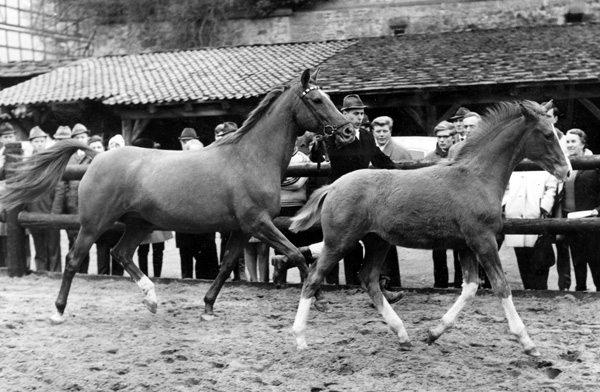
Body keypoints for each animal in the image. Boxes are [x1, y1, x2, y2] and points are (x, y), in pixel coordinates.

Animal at [1, 69, 352, 324]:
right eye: (317, 100)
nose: (348, 131)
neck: (250, 158)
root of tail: (97, 156)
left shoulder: (243, 229)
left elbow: (226, 264)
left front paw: (208, 307)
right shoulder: (258, 223)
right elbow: (296, 255)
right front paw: (321, 301)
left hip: (139, 224)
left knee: (121, 253)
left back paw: (152, 299)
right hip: (93, 224)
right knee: (74, 260)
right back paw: (58, 311)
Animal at [290, 100, 572, 356]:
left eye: (557, 134)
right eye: (548, 135)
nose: (566, 171)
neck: (477, 178)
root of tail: (333, 186)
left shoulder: (465, 245)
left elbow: (470, 287)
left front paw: (433, 333)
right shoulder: (483, 240)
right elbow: (500, 286)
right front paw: (528, 343)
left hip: (377, 242)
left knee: (368, 278)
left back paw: (403, 335)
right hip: (340, 241)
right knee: (313, 278)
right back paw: (300, 339)